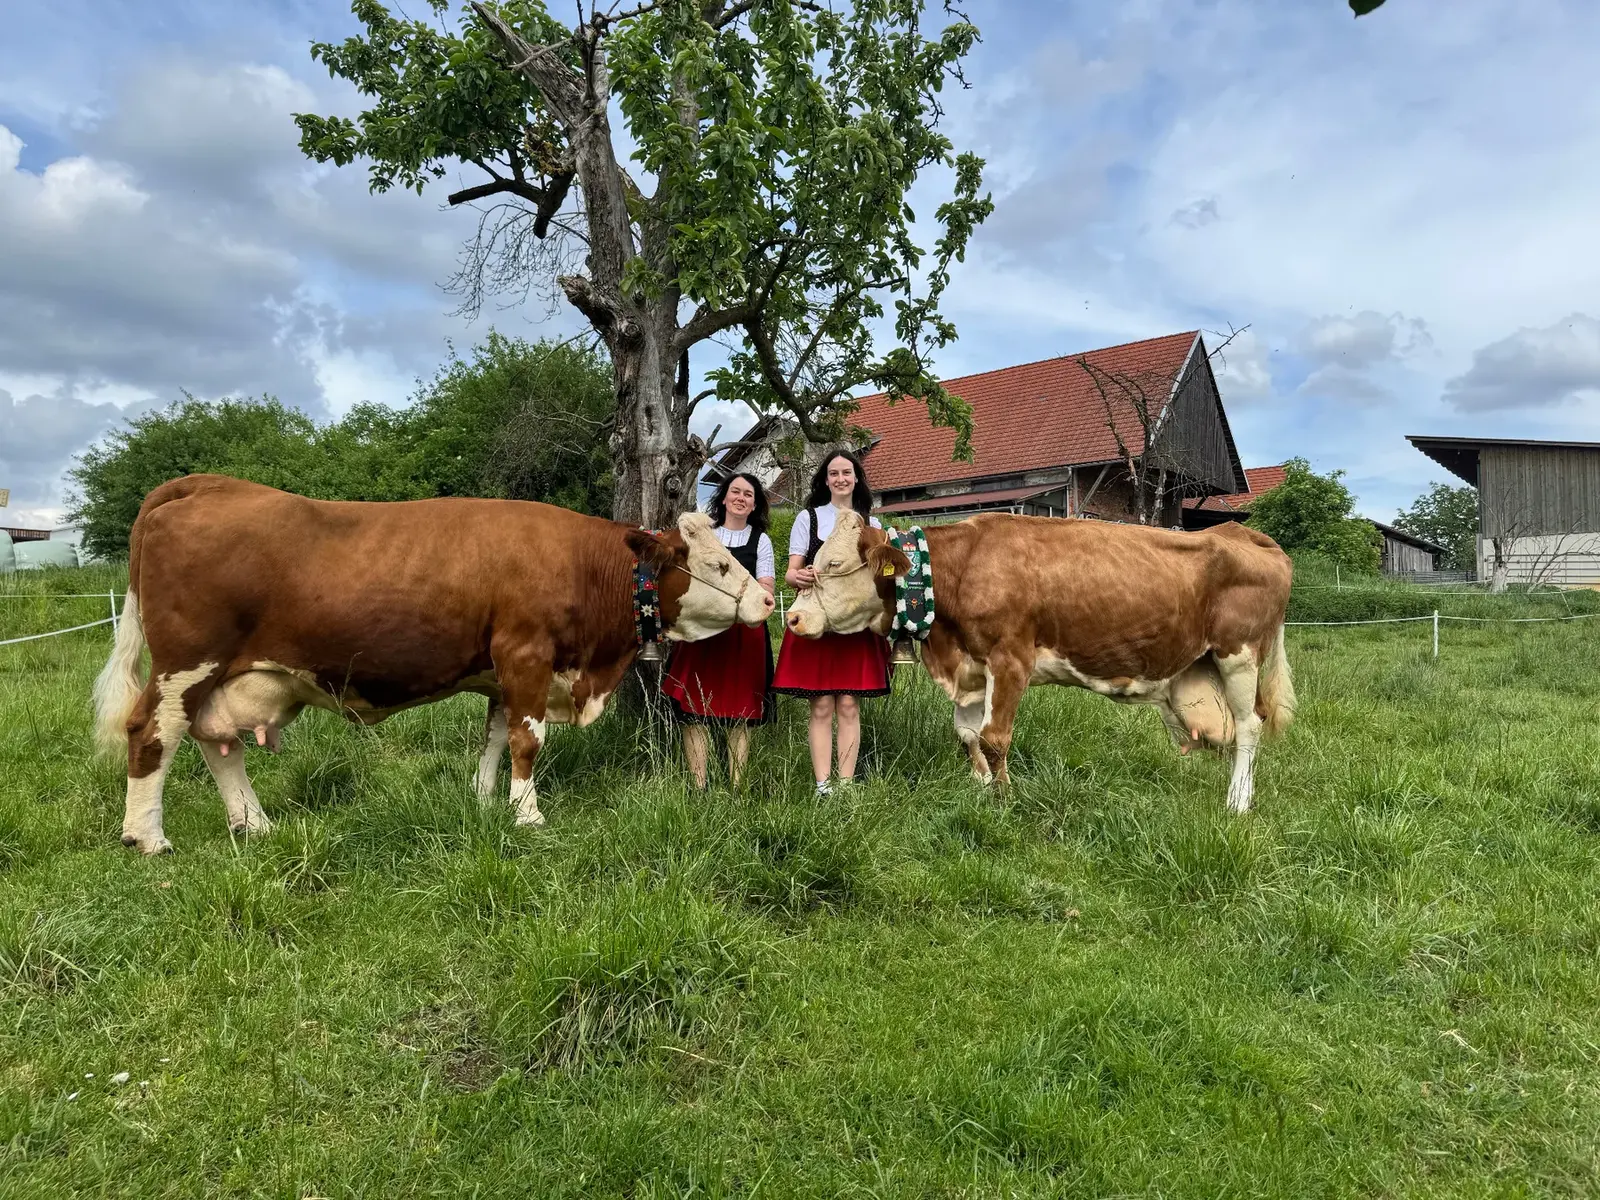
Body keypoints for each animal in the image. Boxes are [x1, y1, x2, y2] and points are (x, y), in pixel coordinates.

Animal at [92, 475, 774, 854]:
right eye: (716, 564)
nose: (767, 599)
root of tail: (206, 483)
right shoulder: (526, 655)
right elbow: (527, 740)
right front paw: (529, 815)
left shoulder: (503, 673)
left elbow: (495, 737)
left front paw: (485, 801)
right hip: (185, 664)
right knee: (152, 733)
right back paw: (147, 836)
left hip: (224, 676)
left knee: (216, 742)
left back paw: (253, 825)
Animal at [783, 511, 1295, 812]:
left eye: (833, 565)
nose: (793, 617)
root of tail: (1243, 532)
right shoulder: (973, 665)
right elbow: (967, 735)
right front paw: (980, 790)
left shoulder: (1011, 657)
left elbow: (993, 738)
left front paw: (1004, 800)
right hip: (1198, 670)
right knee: (1230, 731)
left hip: (1239, 655)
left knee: (1249, 726)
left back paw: (1237, 802)